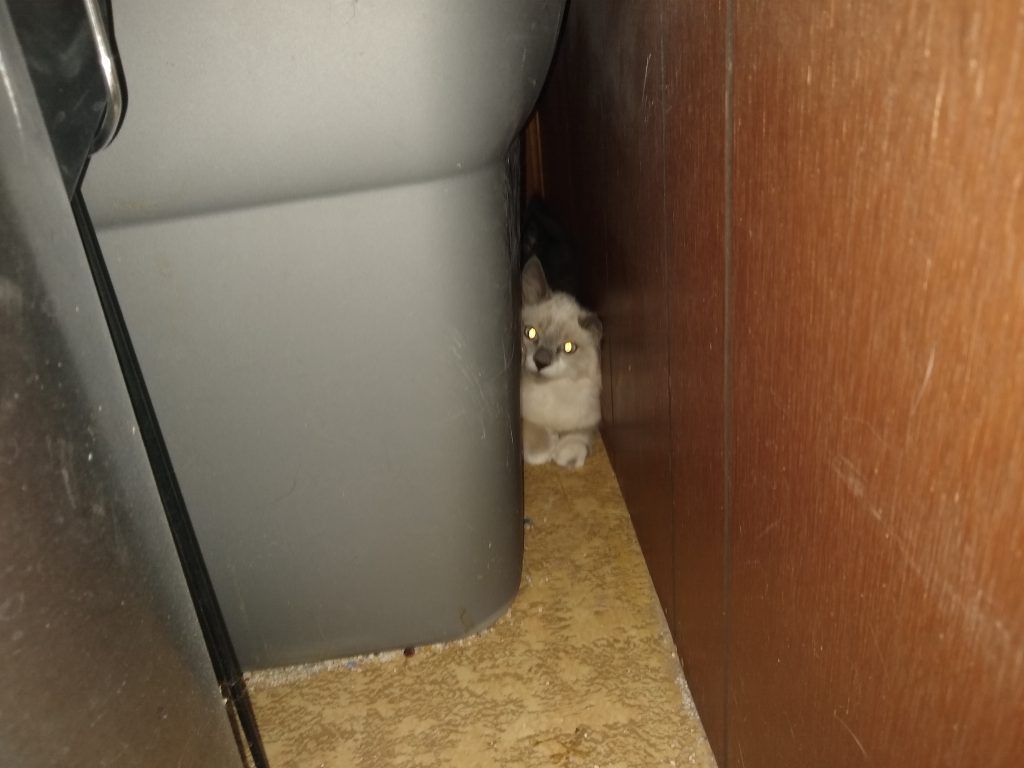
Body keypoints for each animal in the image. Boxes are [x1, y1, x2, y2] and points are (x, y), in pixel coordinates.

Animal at [520, 260, 598, 468]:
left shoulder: (588, 417)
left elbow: (579, 434)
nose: (540, 362)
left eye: (568, 347)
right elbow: (532, 426)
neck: (551, 390)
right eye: (530, 333)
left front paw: (567, 456)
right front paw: (545, 450)